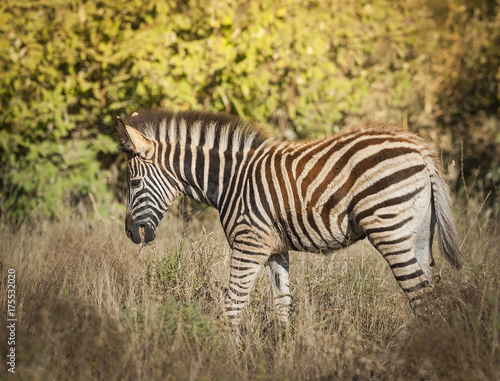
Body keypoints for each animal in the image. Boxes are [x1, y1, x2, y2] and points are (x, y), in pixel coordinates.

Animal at [117, 108, 460, 322]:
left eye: (133, 183)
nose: (130, 233)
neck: (230, 180)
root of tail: (419, 148)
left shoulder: (248, 244)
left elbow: (233, 306)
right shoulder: (275, 250)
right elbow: (282, 306)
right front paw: (282, 356)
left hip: (389, 229)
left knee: (421, 297)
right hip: (419, 233)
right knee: (435, 293)